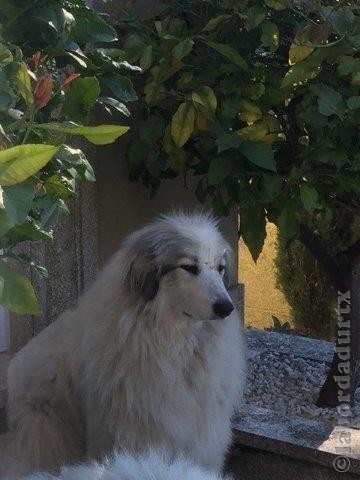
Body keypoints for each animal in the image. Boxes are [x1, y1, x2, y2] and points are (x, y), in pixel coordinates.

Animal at [3, 215, 245, 480]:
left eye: (220, 268)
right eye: (189, 268)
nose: (226, 307)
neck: (174, 341)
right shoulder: (136, 426)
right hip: (44, 421)